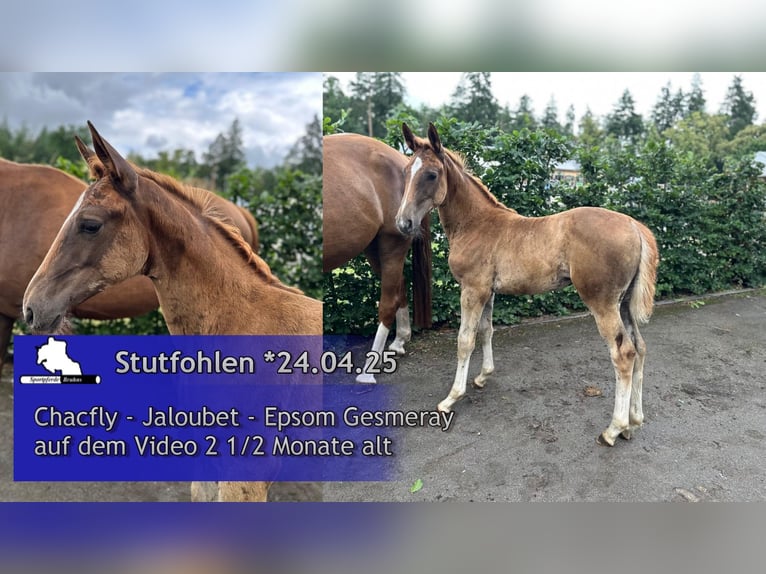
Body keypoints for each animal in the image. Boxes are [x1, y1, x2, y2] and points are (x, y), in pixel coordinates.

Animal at [323, 133, 431, 382]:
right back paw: (398, 342)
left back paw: (368, 371)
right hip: (373, 248)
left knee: (389, 301)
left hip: (392, 243)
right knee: (400, 285)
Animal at [395, 123, 659, 446]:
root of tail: (634, 225)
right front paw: (483, 376)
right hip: (623, 303)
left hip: (602, 302)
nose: (403, 223)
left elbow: (464, 340)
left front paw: (452, 397)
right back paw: (633, 423)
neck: (475, 223)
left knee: (624, 354)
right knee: (640, 348)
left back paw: (613, 429)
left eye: (431, 174)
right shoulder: (488, 292)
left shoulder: (472, 290)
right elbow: (486, 330)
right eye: (406, 170)